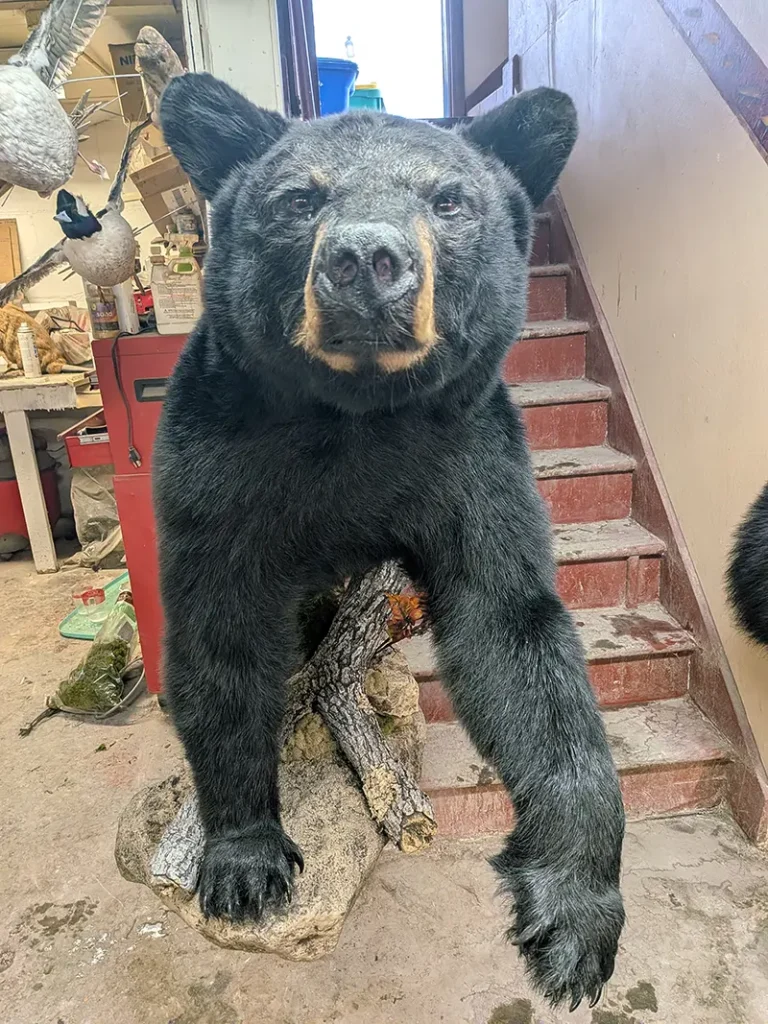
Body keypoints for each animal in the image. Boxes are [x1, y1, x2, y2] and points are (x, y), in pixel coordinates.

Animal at [155, 72, 625, 1009]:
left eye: (448, 200)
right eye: (299, 199)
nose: (365, 260)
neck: (356, 415)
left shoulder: (469, 456)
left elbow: (514, 633)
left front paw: (576, 920)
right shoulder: (218, 460)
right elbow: (220, 630)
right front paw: (243, 857)